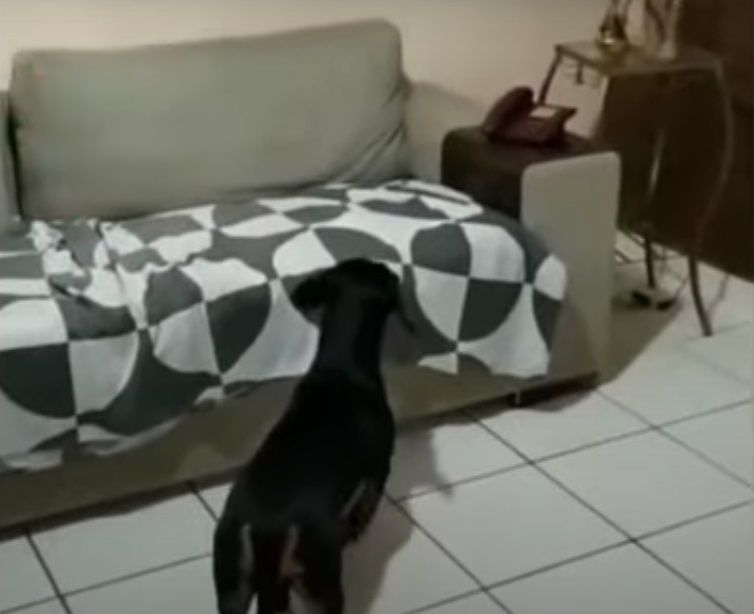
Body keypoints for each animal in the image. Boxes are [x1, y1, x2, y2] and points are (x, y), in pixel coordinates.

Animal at [213, 259, 405, 614]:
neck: (343, 365)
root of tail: (264, 531)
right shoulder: (377, 470)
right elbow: (367, 504)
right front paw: (357, 529)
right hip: (318, 579)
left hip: (232, 580)